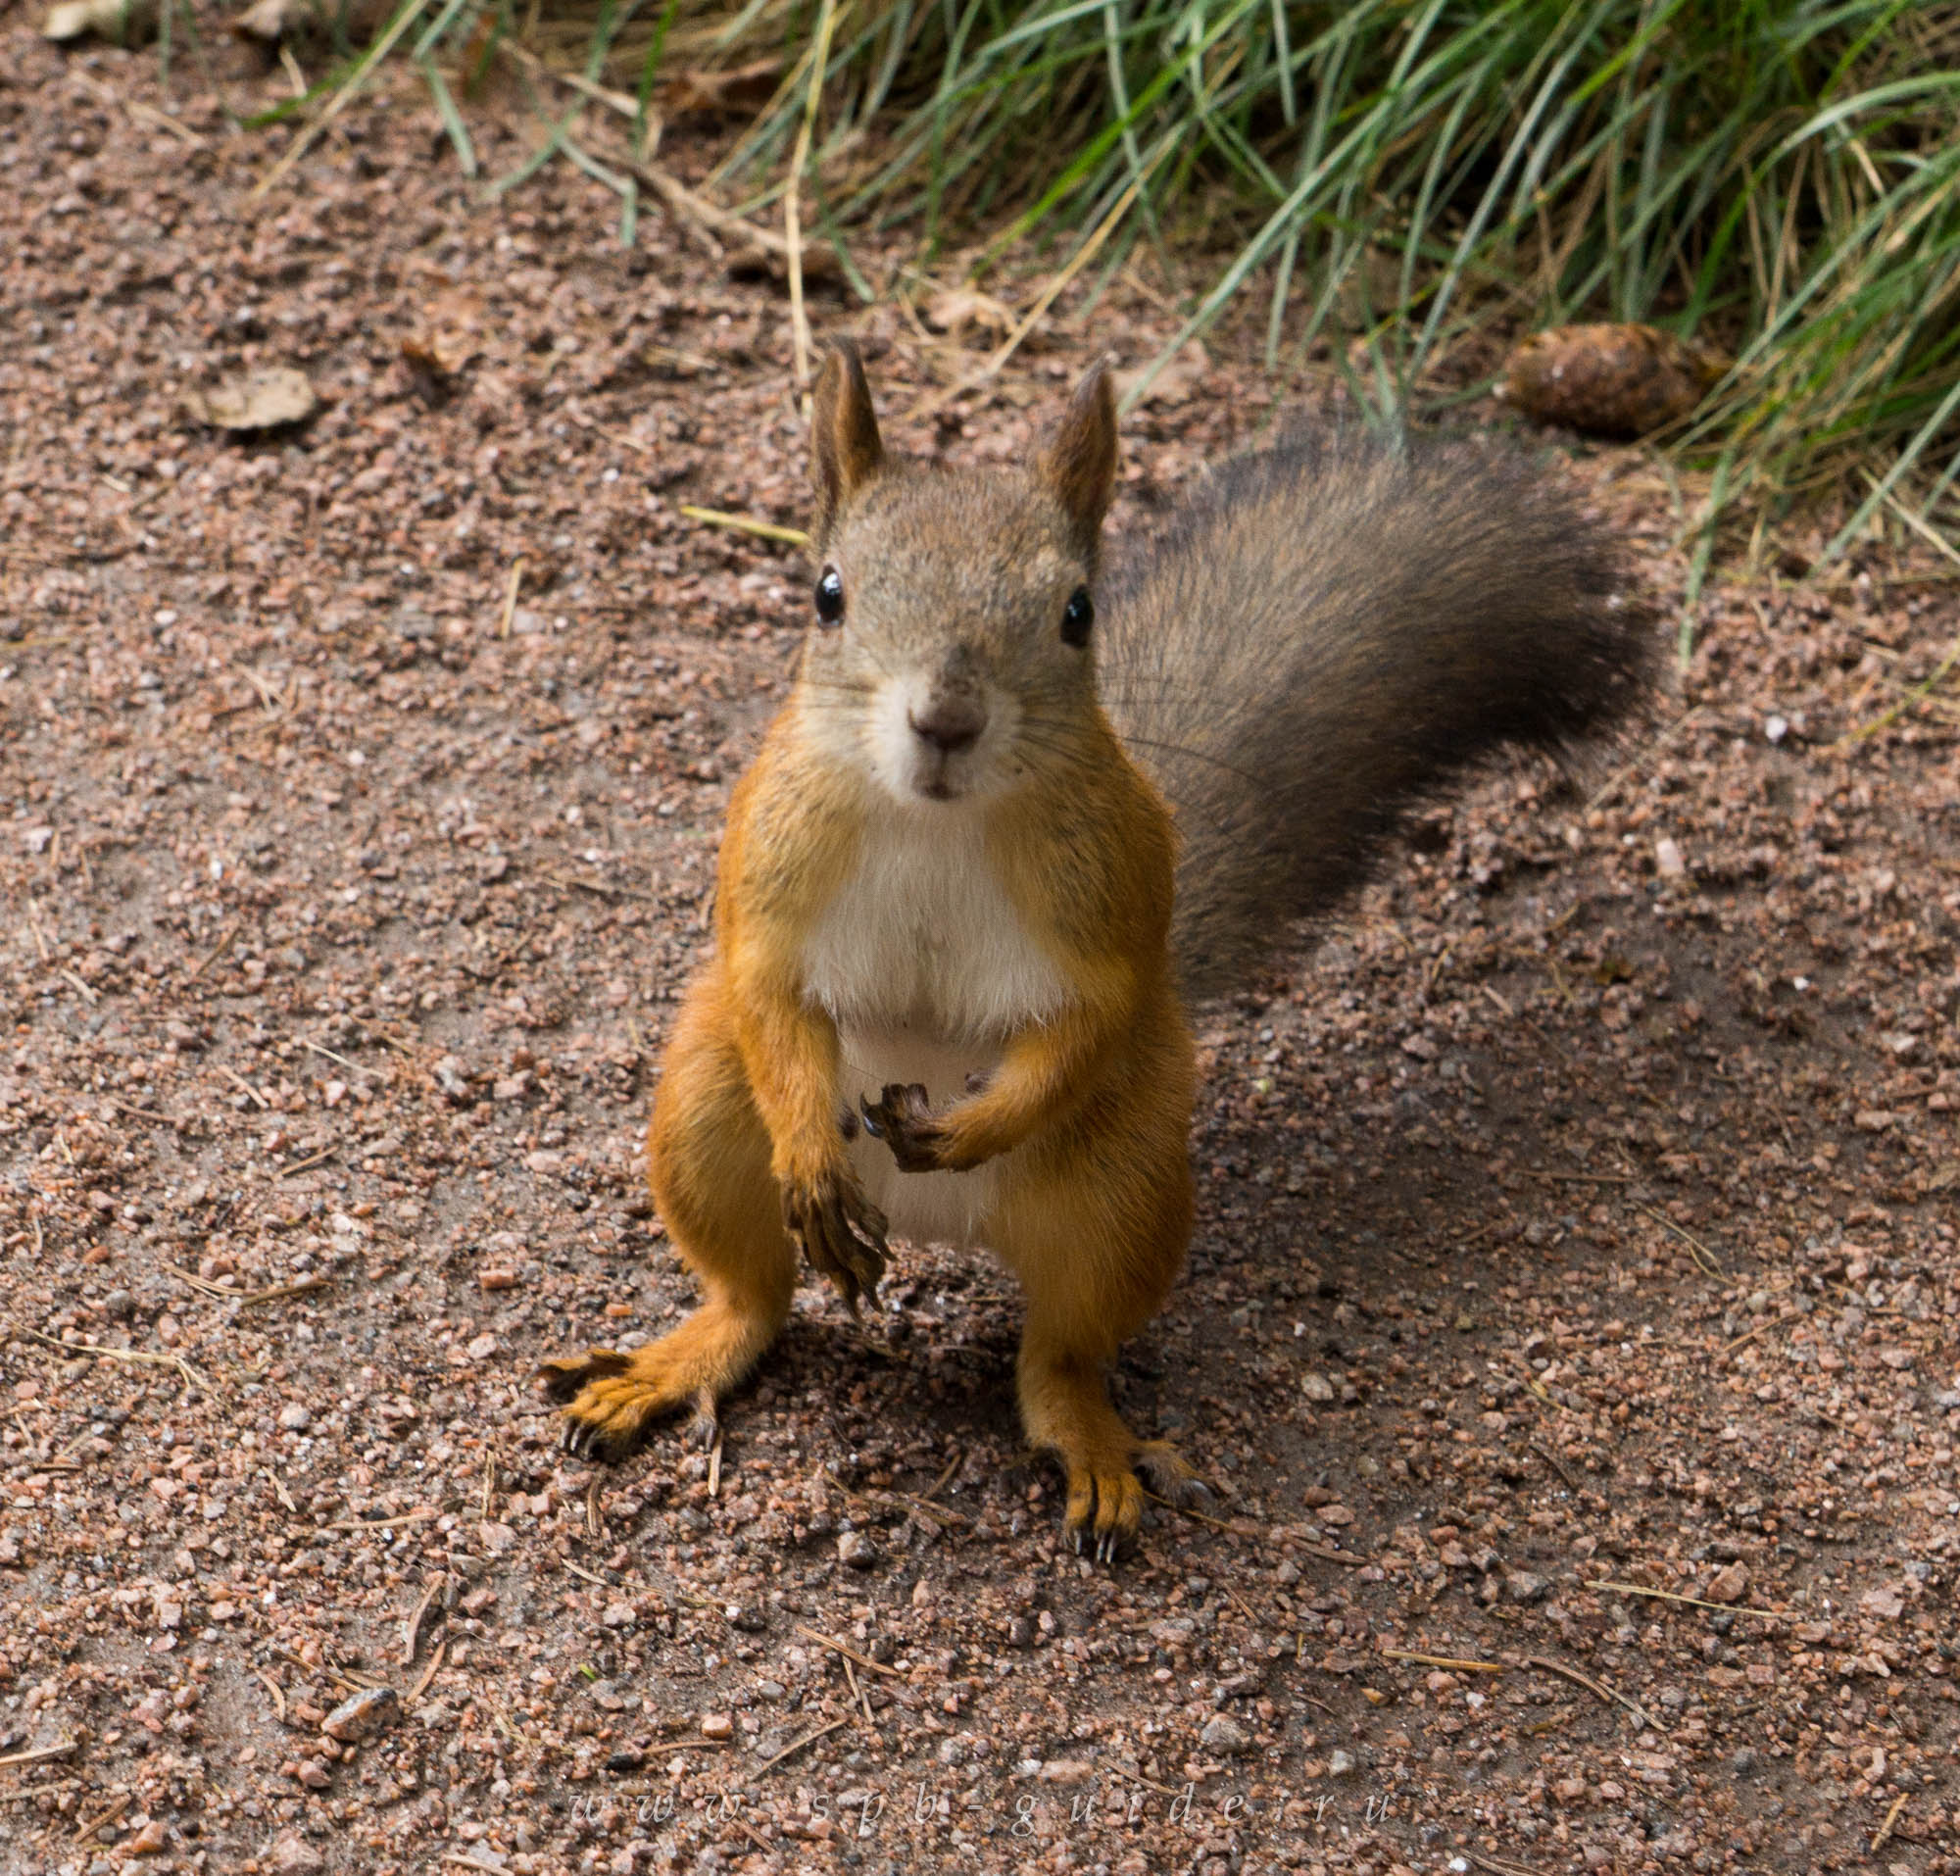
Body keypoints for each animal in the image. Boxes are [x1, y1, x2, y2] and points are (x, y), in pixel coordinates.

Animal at [540, 343, 1652, 1561]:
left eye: (1076, 611)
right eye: (826, 594)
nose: (945, 721)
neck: (934, 821)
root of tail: (936, 1226)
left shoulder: (1113, 907)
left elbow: (1087, 1023)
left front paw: (970, 1125)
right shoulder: (764, 872)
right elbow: (767, 994)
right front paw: (810, 1158)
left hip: (1123, 1192)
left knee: (1061, 1351)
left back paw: (1089, 1441)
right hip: (702, 1109)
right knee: (755, 1293)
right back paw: (676, 1357)